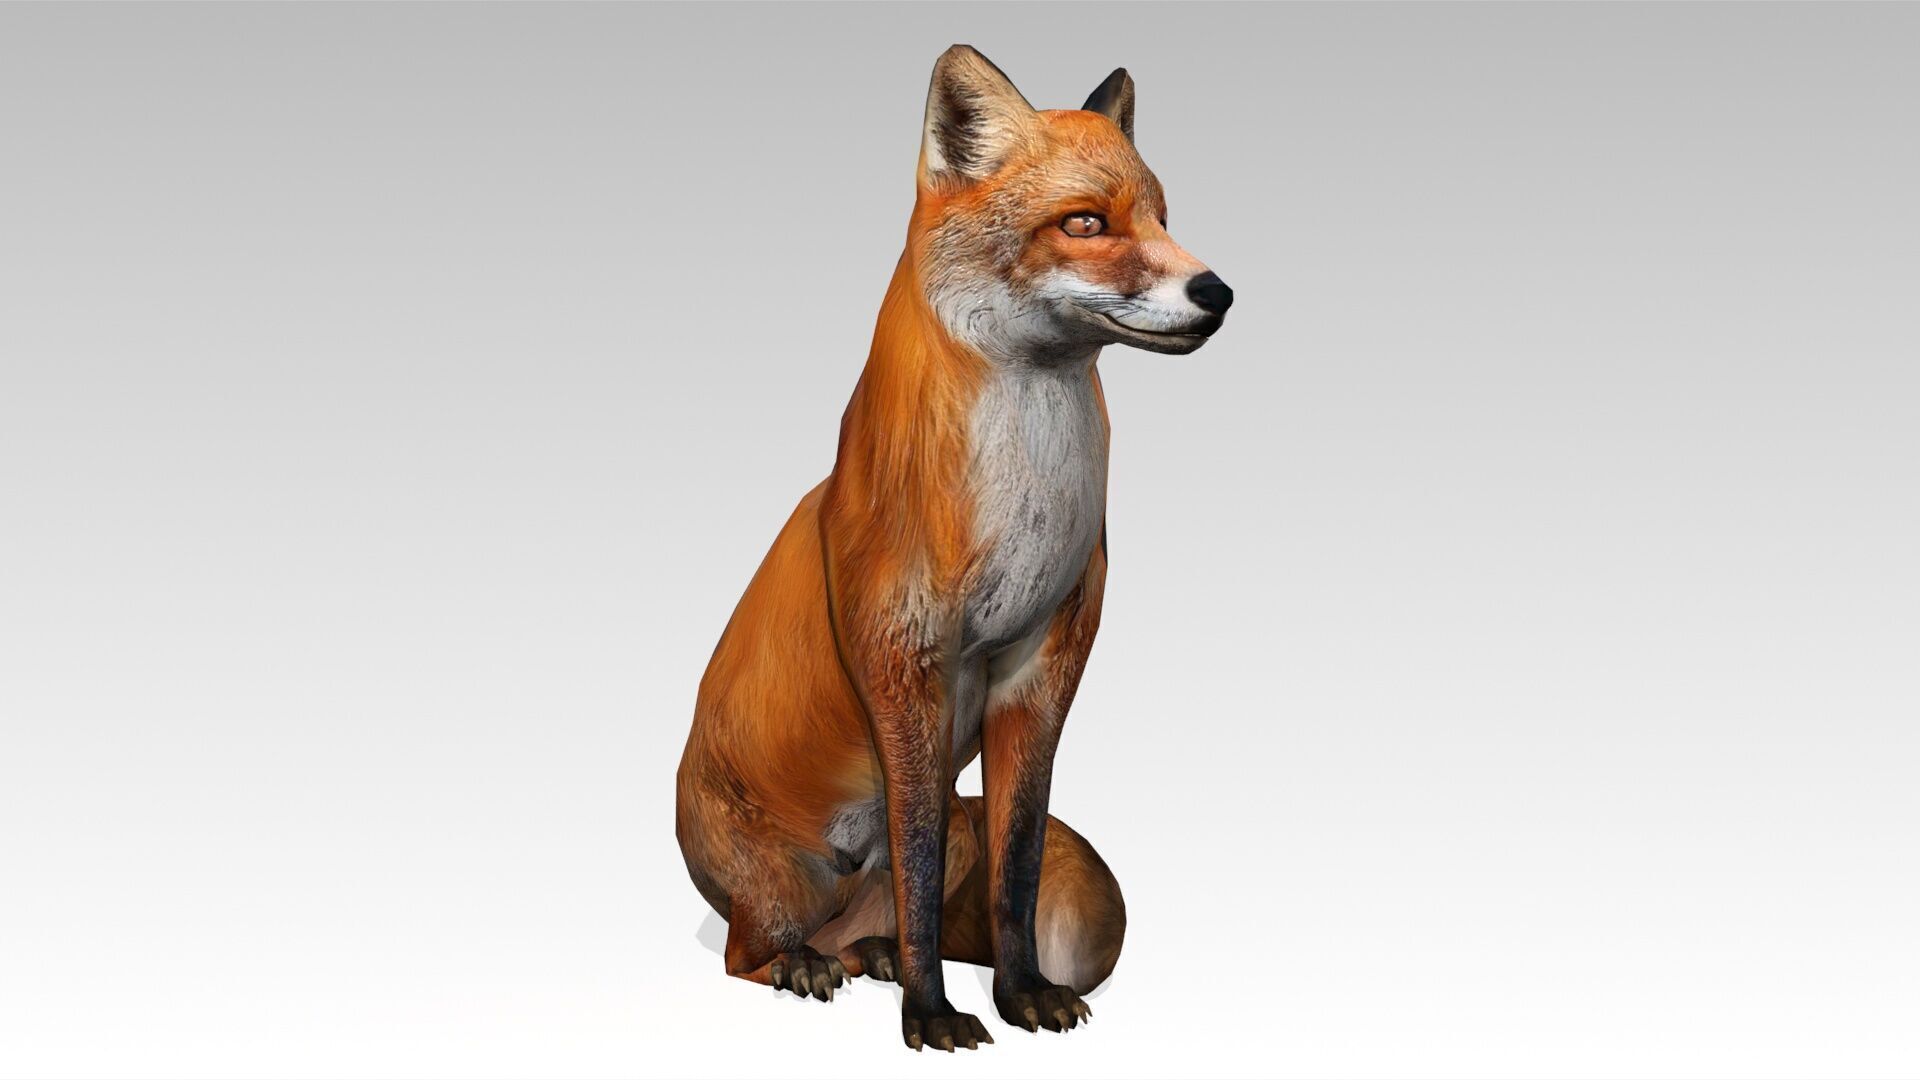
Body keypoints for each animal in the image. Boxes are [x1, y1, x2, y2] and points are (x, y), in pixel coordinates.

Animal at [675, 44, 1233, 1052]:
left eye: (1162, 218)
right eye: (1086, 222)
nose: (1217, 292)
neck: (1024, 518)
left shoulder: (1040, 675)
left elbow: (1015, 868)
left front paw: (1022, 994)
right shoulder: (906, 672)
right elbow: (924, 862)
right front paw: (931, 1014)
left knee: (883, 919)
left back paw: (874, 957)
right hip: (786, 882)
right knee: (749, 951)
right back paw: (808, 965)